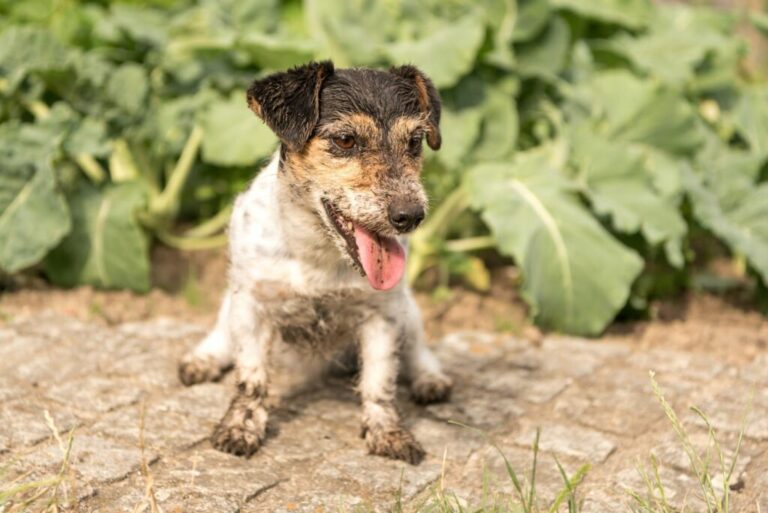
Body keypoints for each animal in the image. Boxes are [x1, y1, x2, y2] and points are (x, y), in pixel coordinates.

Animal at [177, 61, 452, 464]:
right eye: (345, 140)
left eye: (415, 141)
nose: (411, 216)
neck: (317, 254)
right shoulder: (252, 305)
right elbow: (251, 378)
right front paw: (241, 427)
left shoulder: (382, 317)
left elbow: (380, 382)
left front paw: (388, 433)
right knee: (222, 334)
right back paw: (203, 359)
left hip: (408, 310)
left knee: (417, 349)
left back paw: (430, 379)